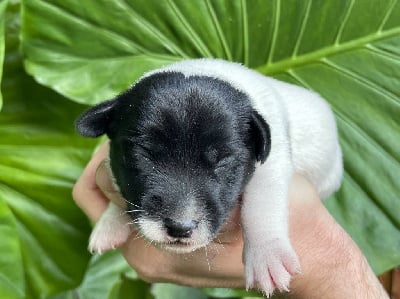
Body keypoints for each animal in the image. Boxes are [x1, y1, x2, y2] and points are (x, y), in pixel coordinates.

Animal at [76, 59, 342, 298]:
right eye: (144, 154)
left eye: (223, 160)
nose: (180, 227)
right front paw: (110, 221)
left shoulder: (272, 161)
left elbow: (261, 205)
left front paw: (267, 255)